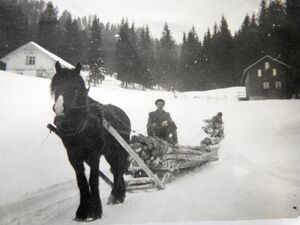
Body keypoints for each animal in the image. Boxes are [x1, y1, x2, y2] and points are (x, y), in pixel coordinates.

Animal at [49, 61, 131, 221]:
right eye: (56, 86)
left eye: (75, 89)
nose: (59, 109)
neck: (83, 124)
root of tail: (123, 114)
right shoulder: (73, 156)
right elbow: (82, 181)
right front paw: (82, 212)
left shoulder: (94, 154)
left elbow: (93, 180)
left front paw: (96, 211)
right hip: (110, 153)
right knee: (116, 170)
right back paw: (119, 196)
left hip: (119, 149)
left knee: (119, 170)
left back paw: (114, 196)